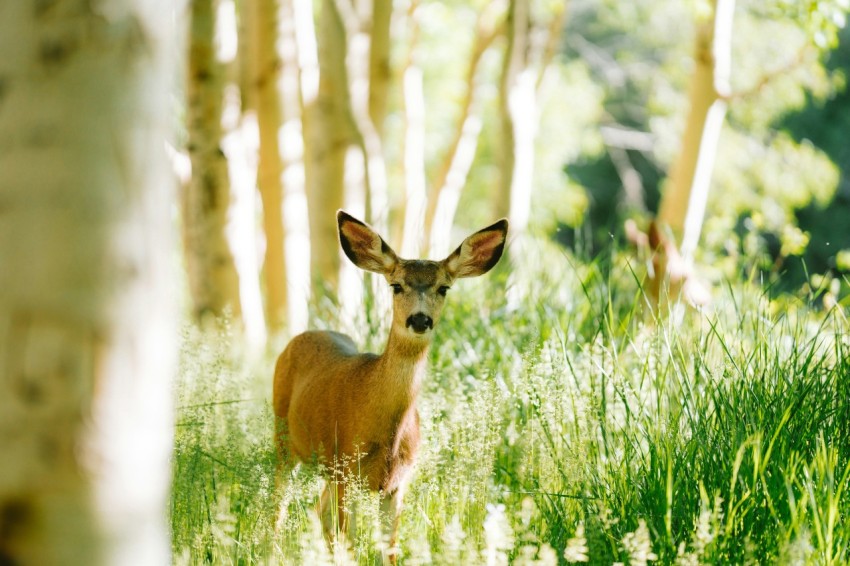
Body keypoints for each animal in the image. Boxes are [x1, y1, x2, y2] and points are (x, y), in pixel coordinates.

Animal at [273, 210, 508, 562]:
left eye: (444, 288)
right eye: (396, 285)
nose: (420, 320)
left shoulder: (397, 483)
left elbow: (391, 550)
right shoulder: (347, 471)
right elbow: (350, 545)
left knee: (318, 512)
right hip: (284, 439)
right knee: (279, 509)